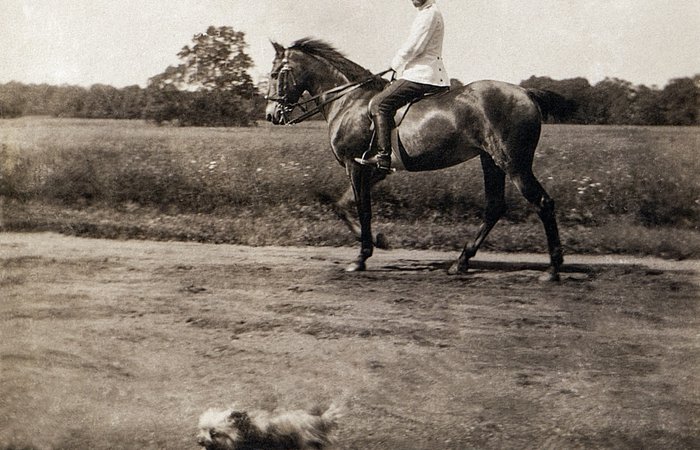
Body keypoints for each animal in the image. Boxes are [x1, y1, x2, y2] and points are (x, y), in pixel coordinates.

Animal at [266, 38, 568, 280]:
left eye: (274, 73)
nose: (271, 114)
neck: (349, 101)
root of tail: (526, 93)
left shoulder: (355, 167)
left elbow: (362, 209)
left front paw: (362, 256)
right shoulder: (373, 171)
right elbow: (342, 205)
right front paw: (378, 240)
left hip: (513, 163)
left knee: (543, 203)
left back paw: (552, 269)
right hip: (490, 161)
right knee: (495, 207)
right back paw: (461, 262)